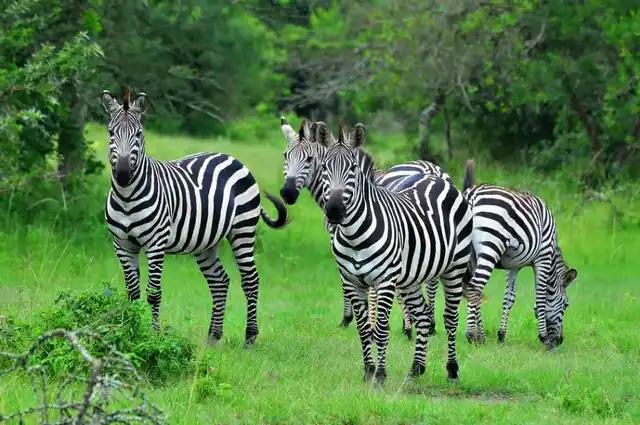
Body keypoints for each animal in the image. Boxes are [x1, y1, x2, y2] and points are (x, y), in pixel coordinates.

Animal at [100, 89, 289, 347]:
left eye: (138, 134)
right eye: (111, 132)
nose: (122, 174)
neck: (127, 196)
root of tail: (232, 158)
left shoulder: (155, 244)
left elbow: (153, 294)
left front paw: (153, 336)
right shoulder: (122, 244)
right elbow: (132, 293)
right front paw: (129, 330)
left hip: (242, 230)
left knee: (250, 280)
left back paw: (250, 336)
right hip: (206, 242)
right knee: (220, 281)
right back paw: (213, 336)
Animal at [279, 117, 451, 338]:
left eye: (309, 159)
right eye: (286, 155)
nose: (288, 193)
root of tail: (432, 169)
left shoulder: (345, 241)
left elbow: (353, 284)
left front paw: (350, 319)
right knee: (431, 279)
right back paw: (430, 323)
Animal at [315, 120, 473, 385]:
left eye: (353, 169)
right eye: (325, 167)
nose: (334, 210)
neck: (353, 235)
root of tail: (438, 178)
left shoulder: (385, 281)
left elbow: (380, 329)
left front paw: (380, 375)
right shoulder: (352, 281)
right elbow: (363, 328)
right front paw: (368, 371)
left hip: (454, 268)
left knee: (450, 319)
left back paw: (452, 370)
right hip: (411, 278)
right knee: (422, 316)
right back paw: (416, 369)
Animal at [460, 159, 578, 348]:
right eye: (566, 305)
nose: (559, 341)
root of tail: (472, 194)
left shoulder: (514, 265)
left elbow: (509, 298)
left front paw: (501, 335)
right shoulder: (543, 257)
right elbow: (541, 297)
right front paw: (544, 338)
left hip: (469, 254)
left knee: (472, 288)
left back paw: (481, 336)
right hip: (491, 246)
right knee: (475, 287)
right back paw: (472, 335)